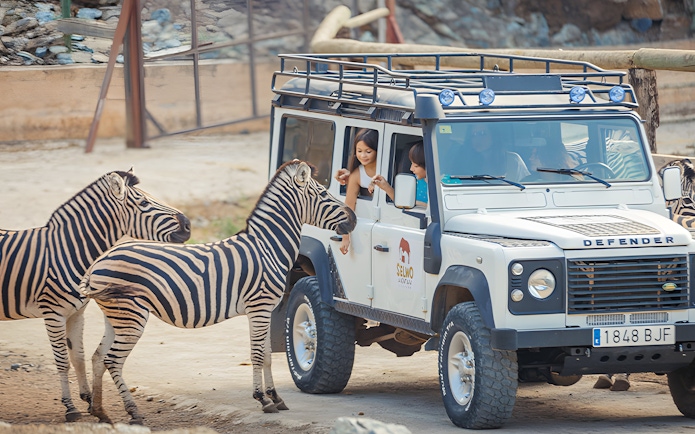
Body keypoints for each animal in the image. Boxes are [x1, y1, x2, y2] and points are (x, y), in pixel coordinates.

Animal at [0, 169, 191, 422]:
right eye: (143, 203)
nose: (188, 225)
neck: (68, 252)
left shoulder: (76, 312)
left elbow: (78, 357)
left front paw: (90, 401)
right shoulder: (53, 313)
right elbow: (62, 361)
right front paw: (70, 408)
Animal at [80, 160, 356, 424]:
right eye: (323, 193)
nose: (353, 219)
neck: (267, 247)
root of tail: (99, 262)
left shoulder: (265, 310)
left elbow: (267, 355)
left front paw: (276, 398)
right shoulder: (259, 307)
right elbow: (257, 355)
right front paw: (262, 400)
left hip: (116, 316)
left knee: (98, 358)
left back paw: (100, 411)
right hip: (131, 315)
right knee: (112, 360)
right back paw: (133, 412)